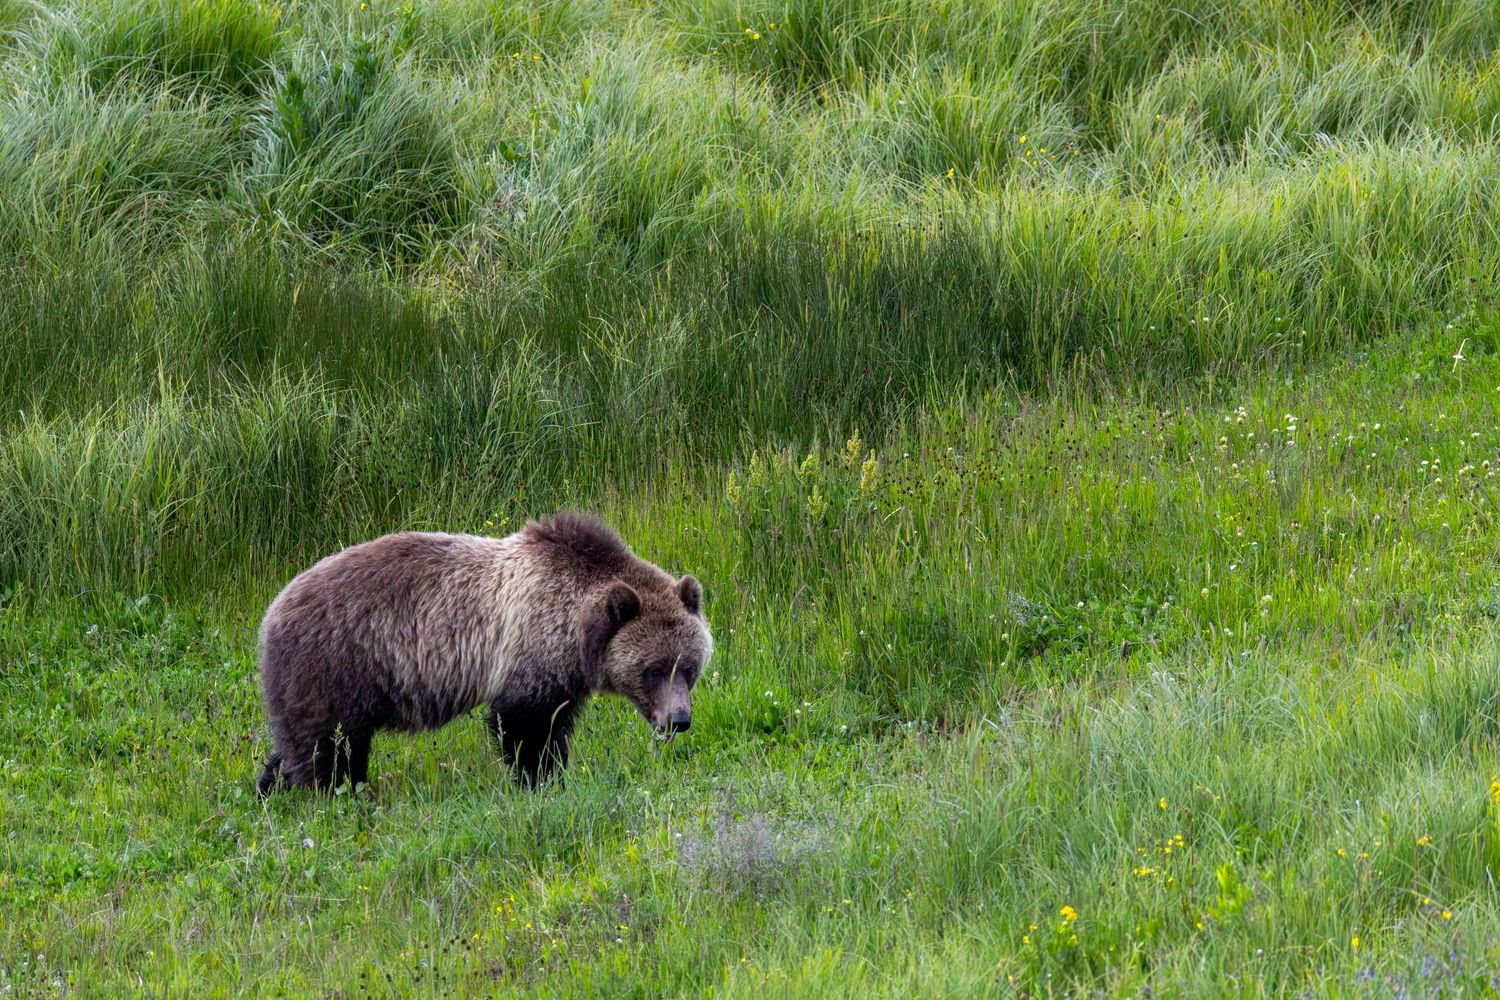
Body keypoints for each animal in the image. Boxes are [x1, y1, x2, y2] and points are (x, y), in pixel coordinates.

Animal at [255, 511, 712, 796]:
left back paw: (270, 788)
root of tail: (269, 613)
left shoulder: (565, 672)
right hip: (335, 664)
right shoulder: (530, 645)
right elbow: (525, 725)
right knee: (327, 751)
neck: (578, 632)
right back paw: (336, 795)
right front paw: (541, 779)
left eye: (690, 668)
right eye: (654, 669)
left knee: (302, 744)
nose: (679, 720)